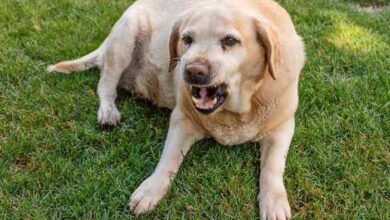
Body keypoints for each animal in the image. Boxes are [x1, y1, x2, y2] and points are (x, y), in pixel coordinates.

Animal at [48, 0, 304, 217]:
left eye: (230, 41)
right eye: (187, 39)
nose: (193, 71)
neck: (236, 110)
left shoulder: (283, 127)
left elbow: (273, 167)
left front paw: (274, 202)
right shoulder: (182, 120)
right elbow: (168, 159)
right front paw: (150, 189)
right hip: (124, 39)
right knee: (105, 84)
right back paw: (108, 111)